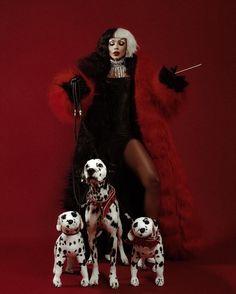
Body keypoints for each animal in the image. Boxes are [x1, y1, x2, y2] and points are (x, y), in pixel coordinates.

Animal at [82, 160, 128, 288]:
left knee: (120, 242)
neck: (99, 203)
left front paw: (113, 279)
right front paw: (94, 277)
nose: (90, 170)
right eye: (87, 165)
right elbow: (95, 260)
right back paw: (89, 259)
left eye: (100, 165)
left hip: (120, 229)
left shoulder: (112, 236)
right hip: (93, 235)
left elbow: (113, 263)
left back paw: (124, 257)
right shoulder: (92, 235)